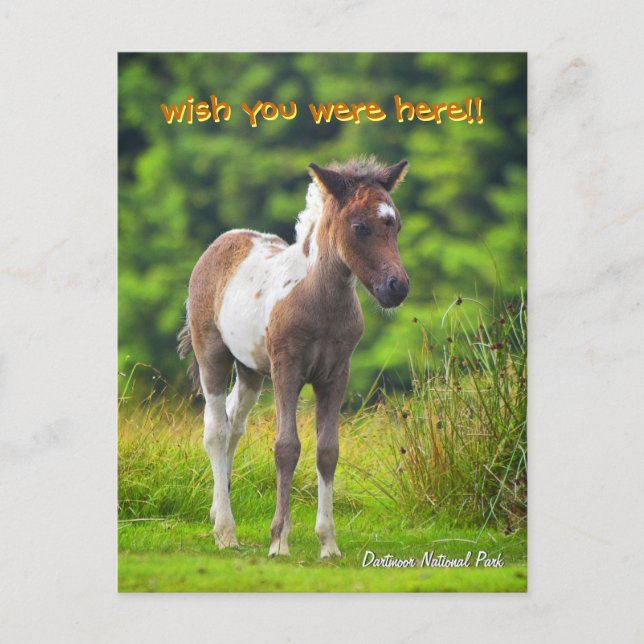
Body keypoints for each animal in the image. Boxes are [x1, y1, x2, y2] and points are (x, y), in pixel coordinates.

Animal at [178, 157, 410, 558]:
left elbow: (327, 450)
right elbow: (287, 447)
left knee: (234, 425)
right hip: (213, 355)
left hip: (251, 370)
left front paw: (328, 543)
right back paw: (225, 532)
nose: (397, 287)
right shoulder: (287, 370)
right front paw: (279, 541)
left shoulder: (335, 375)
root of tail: (223, 241)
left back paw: (217, 512)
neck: (320, 300)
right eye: (360, 226)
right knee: (216, 431)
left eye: (394, 224)